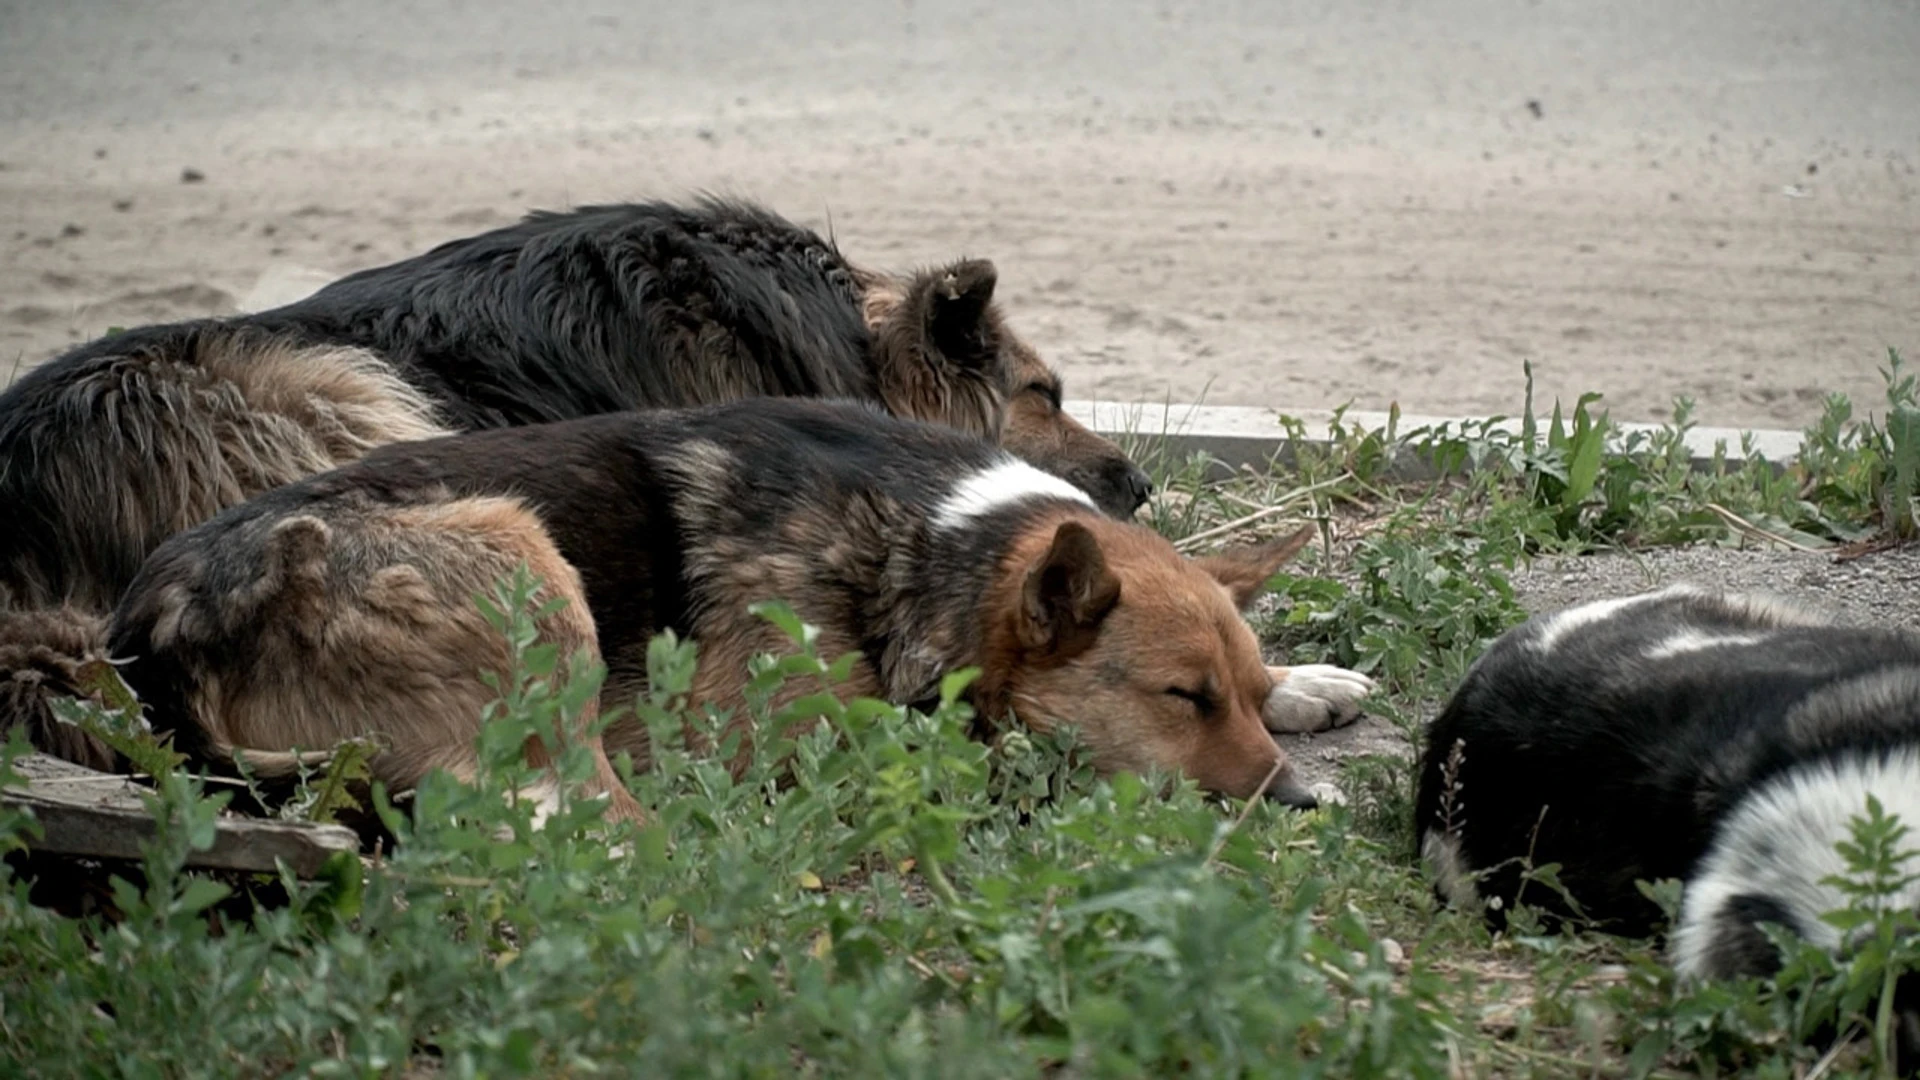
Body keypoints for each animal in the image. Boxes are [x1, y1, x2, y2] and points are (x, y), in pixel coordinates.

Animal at [37, 399, 1367, 818]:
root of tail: (153, 631)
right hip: (525, 558)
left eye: (1235, 692)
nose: (1297, 806)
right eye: (1181, 698)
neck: (932, 549)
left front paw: (1311, 684)